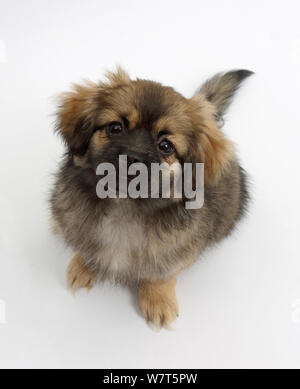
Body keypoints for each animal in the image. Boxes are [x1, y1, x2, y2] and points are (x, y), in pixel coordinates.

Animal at [50, 67, 252, 328]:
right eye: (115, 127)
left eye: (166, 146)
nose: (131, 158)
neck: (123, 205)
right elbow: (86, 246)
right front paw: (83, 266)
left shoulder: (180, 252)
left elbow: (161, 275)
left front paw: (158, 299)